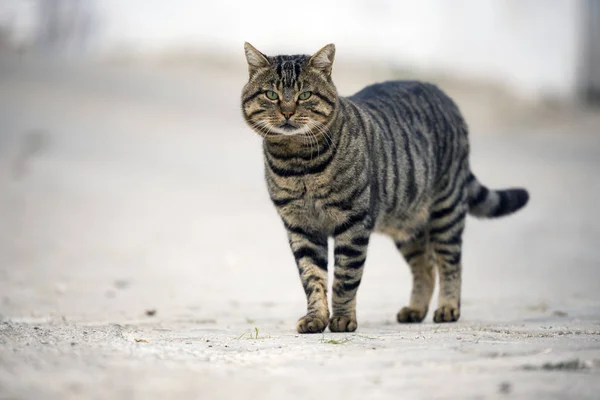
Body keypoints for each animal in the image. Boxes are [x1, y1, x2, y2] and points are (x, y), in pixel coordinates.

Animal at [241, 41, 528, 334]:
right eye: (271, 95)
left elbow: (345, 278)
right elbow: (312, 278)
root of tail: (442, 93)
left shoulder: (353, 221)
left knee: (450, 262)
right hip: (407, 225)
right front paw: (316, 318)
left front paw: (342, 319)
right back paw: (415, 309)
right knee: (425, 266)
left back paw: (448, 308)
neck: (298, 164)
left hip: (446, 210)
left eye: (305, 95)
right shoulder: (301, 227)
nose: (287, 111)